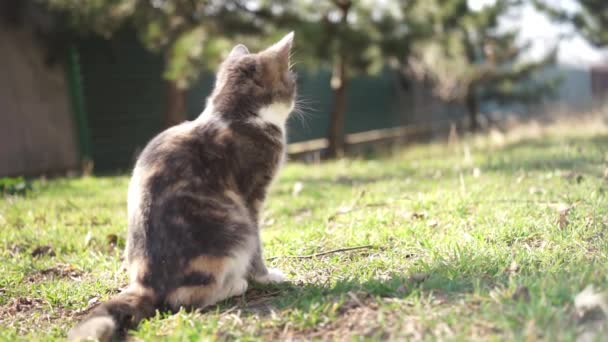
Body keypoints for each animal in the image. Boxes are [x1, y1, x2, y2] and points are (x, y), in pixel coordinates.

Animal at [69, 31, 296, 340]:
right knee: (182, 300)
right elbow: (258, 248)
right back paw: (235, 285)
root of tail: (145, 284)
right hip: (237, 229)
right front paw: (265, 276)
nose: (297, 96)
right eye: (292, 80)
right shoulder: (251, 198)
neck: (237, 115)